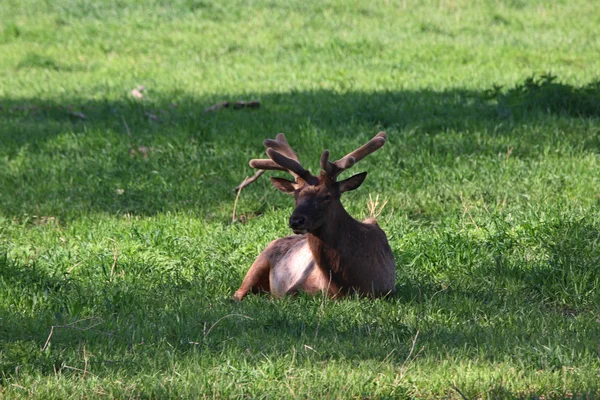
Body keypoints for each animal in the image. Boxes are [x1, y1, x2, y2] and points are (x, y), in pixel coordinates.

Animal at [232, 132, 396, 300]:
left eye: (327, 196)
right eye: (295, 196)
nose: (296, 221)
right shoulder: (296, 285)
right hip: (259, 262)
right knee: (238, 293)